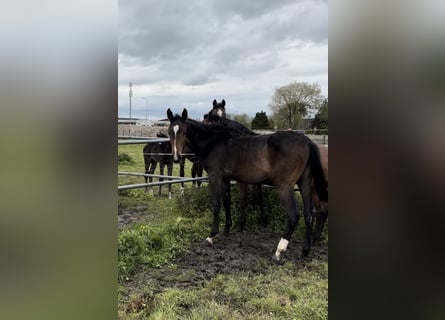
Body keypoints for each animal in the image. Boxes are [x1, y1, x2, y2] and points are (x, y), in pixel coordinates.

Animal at [166, 109, 326, 258]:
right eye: (169, 132)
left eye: (184, 131)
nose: (176, 157)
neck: (215, 142)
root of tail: (306, 141)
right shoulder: (225, 178)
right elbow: (227, 201)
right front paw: (227, 229)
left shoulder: (215, 176)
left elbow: (217, 204)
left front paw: (211, 235)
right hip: (305, 184)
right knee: (309, 214)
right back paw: (305, 251)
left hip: (285, 187)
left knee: (294, 215)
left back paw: (279, 250)